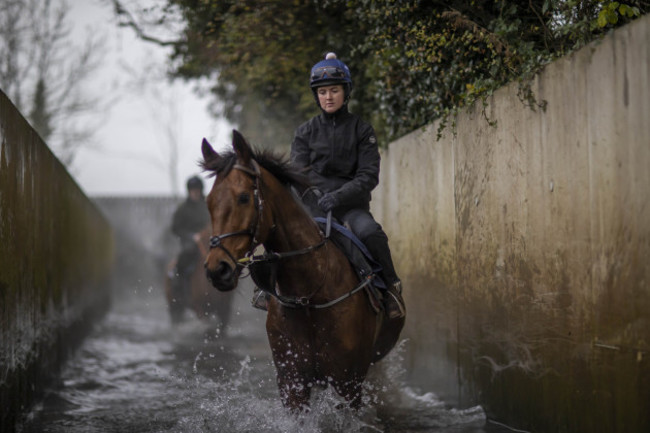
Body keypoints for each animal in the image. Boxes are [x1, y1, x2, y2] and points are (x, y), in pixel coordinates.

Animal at [200, 128, 402, 408]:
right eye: (209, 201)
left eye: (243, 197)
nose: (217, 269)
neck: (310, 294)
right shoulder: (292, 382)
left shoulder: (347, 384)